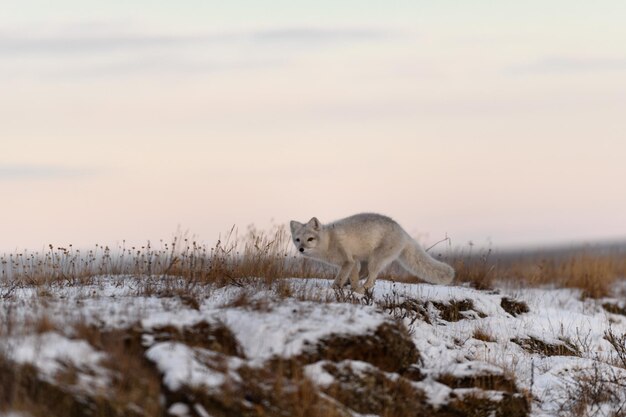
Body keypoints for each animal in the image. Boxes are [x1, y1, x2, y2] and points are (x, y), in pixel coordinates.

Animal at [288, 211, 454, 292]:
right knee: (365, 274)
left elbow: (340, 277)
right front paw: (352, 288)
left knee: (372, 280)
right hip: (365, 261)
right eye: (298, 239)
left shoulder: (348, 261)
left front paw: (338, 289)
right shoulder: (353, 262)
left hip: (375, 260)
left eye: (310, 239)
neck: (328, 241)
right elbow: (353, 277)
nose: (301, 249)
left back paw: (362, 289)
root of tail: (403, 231)